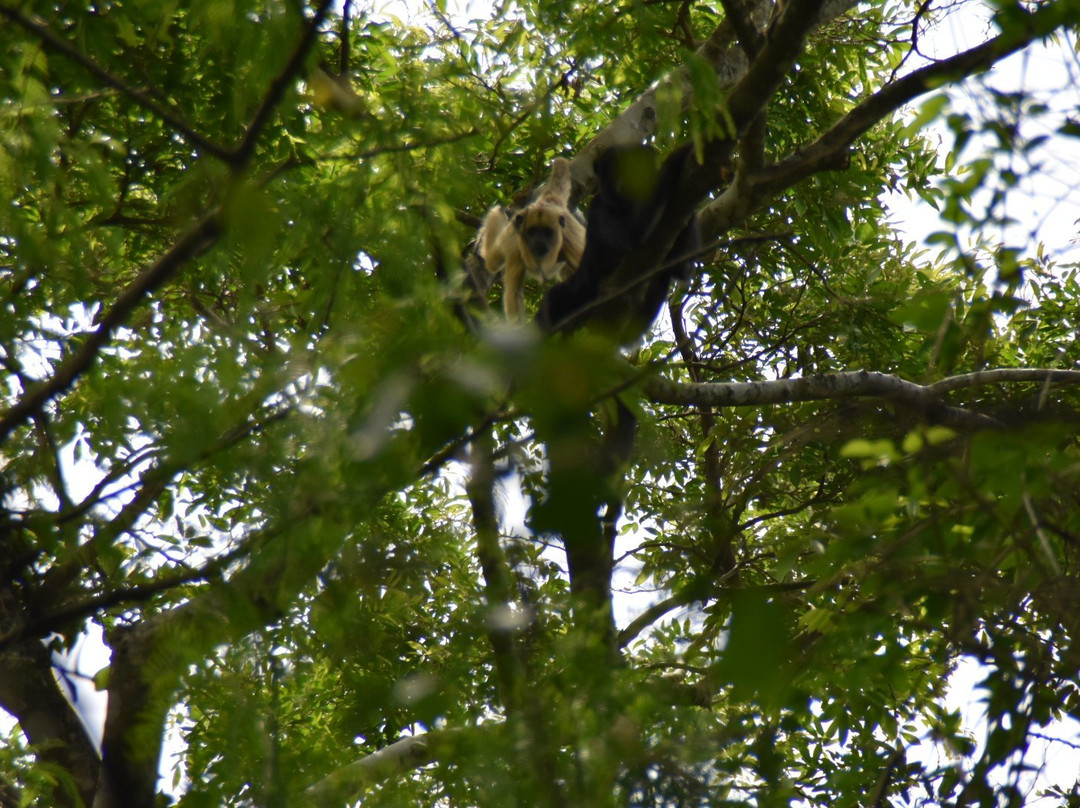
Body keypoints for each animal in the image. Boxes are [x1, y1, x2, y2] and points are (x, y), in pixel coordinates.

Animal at [537, 143, 699, 339]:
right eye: (611, 165)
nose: (623, 178)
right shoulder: (599, 207)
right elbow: (632, 237)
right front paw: (676, 157)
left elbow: (680, 269)